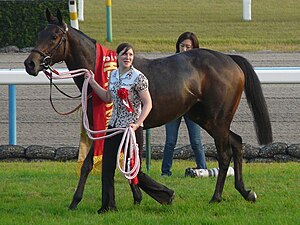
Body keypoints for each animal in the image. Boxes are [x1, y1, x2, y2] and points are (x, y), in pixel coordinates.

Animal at [23, 8, 272, 209]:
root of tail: (229, 59)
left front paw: (145, 195)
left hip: (217, 119)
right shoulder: (109, 129)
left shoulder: (124, 127)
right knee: (237, 143)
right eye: (39, 34)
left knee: (225, 154)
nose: (30, 64)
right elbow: (93, 164)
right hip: (204, 117)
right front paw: (77, 201)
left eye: (54, 36)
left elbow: (126, 162)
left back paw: (216, 197)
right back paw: (246, 192)